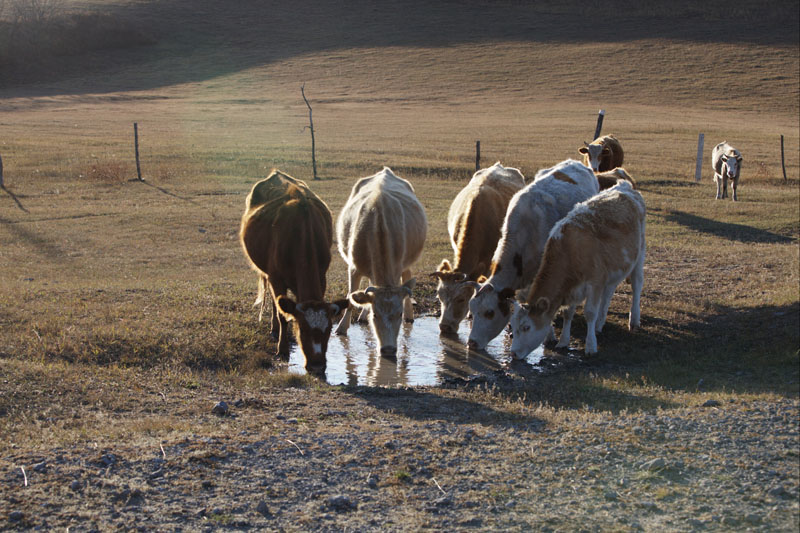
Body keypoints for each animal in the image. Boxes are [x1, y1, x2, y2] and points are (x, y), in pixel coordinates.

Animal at [239, 169, 348, 370]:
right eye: (302, 329)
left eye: (329, 329)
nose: (317, 365)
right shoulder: (276, 278)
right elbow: (282, 314)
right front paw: (282, 350)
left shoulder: (322, 276)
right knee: (275, 302)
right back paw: (274, 328)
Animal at [334, 168, 428, 356]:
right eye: (376, 315)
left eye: (398, 315)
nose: (389, 349)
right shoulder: (354, 268)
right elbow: (351, 297)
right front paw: (342, 328)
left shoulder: (396, 268)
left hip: (406, 262)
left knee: (407, 277)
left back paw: (410, 315)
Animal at [510, 181, 648, 360]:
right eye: (512, 326)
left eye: (527, 327)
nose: (513, 353)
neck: (569, 249)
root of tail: (624, 186)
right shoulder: (573, 287)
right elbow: (568, 313)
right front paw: (563, 341)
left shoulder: (595, 281)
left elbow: (589, 312)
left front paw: (590, 346)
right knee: (609, 292)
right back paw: (599, 324)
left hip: (640, 254)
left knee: (637, 284)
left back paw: (634, 320)